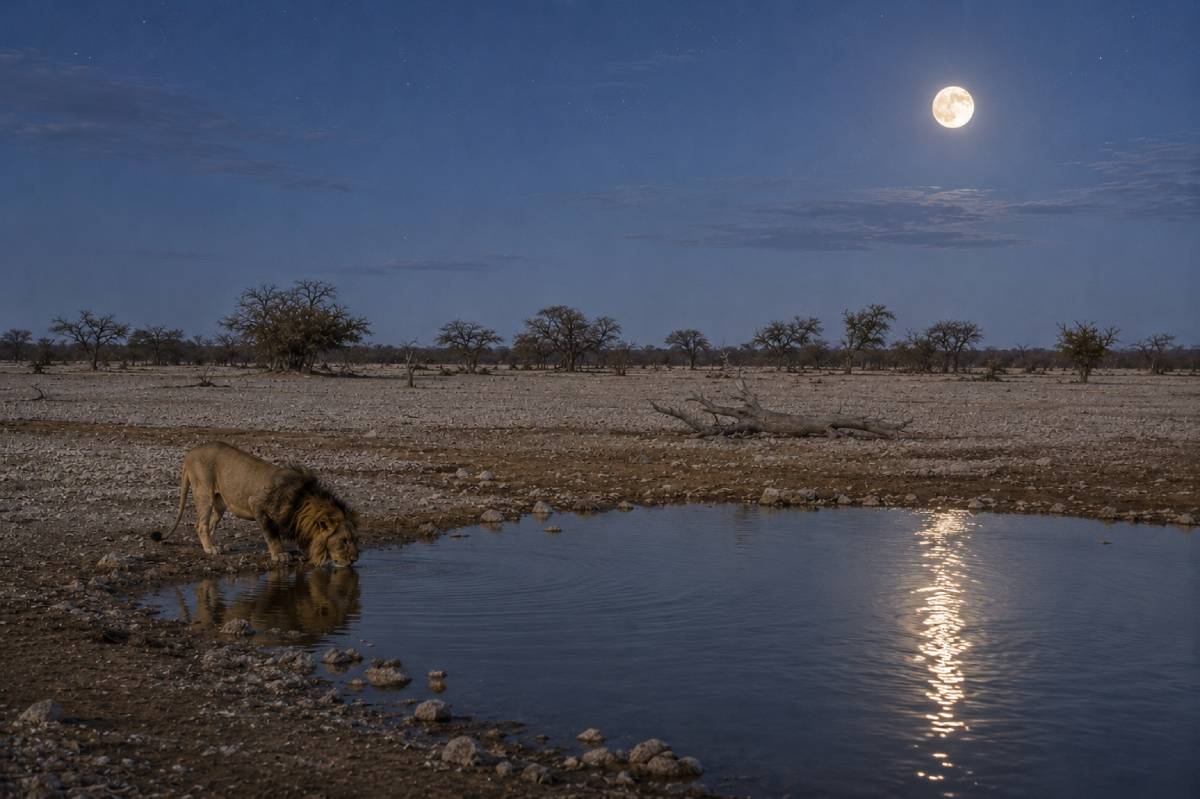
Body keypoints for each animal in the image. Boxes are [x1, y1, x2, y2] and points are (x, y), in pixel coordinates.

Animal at [153, 442, 360, 567]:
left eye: (355, 539)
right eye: (344, 540)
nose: (354, 560)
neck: (302, 502)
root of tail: (191, 452)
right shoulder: (257, 504)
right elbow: (272, 535)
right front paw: (280, 555)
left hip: (220, 503)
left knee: (211, 523)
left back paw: (217, 545)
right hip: (204, 492)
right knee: (200, 524)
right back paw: (210, 548)